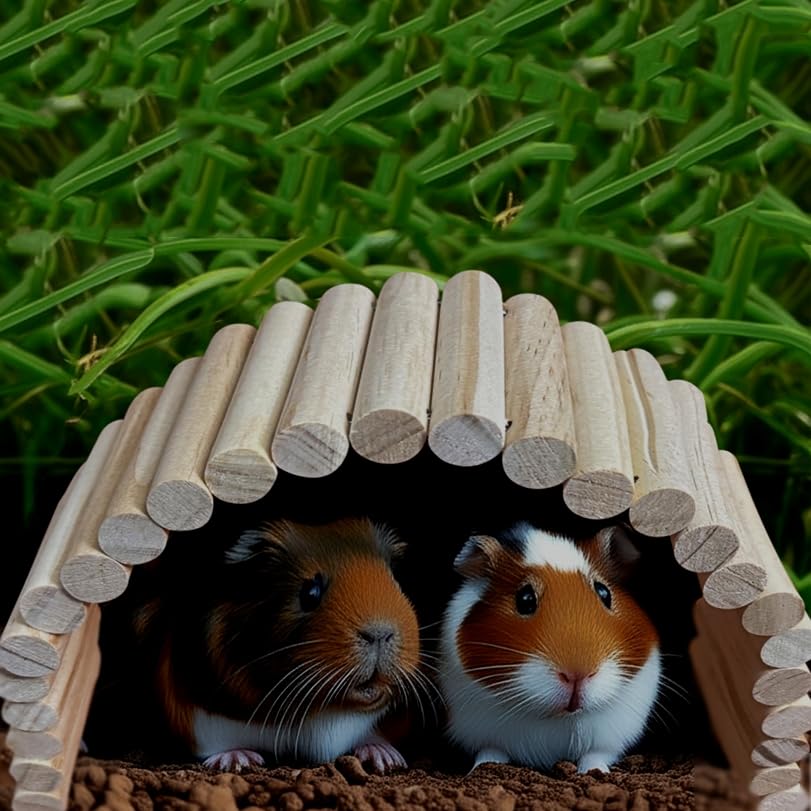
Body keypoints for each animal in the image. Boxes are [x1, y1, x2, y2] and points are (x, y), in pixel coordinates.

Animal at [438, 522, 661, 774]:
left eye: (604, 592)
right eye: (525, 599)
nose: (577, 675)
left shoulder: (609, 737)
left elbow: (595, 756)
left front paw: (595, 774)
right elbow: (491, 752)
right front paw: (481, 770)